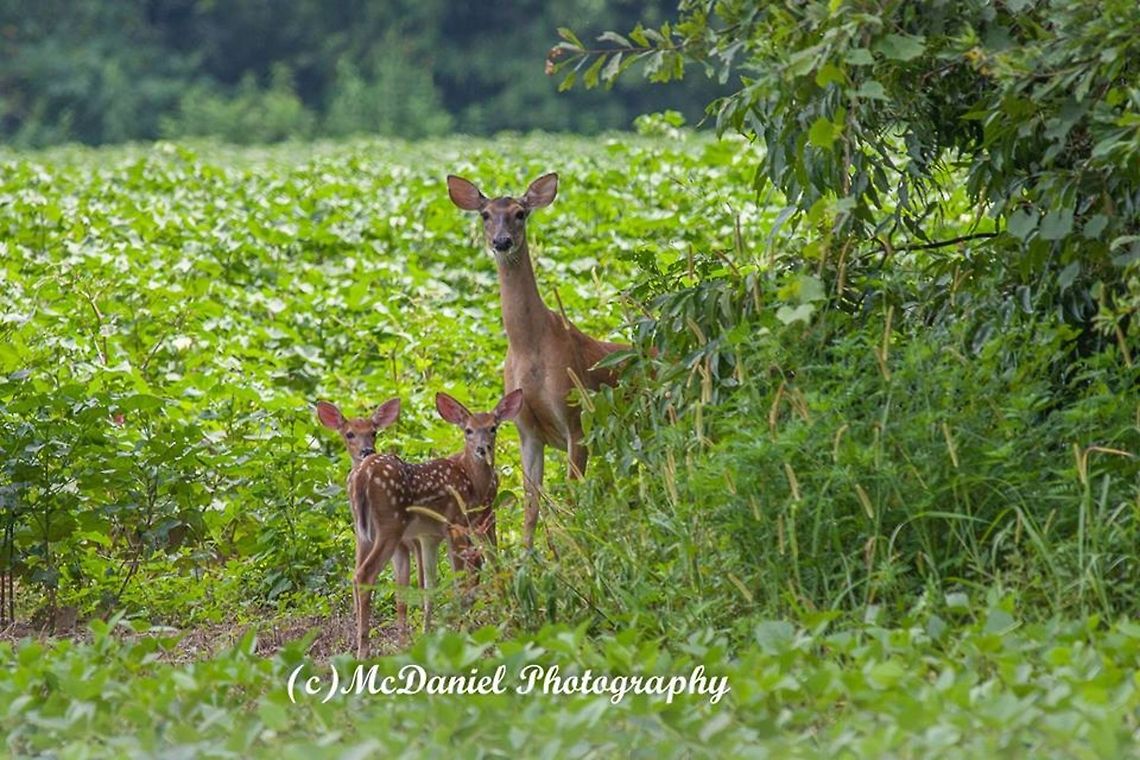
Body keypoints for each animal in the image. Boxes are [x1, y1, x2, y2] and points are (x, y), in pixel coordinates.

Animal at [320, 390, 522, 658]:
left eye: (493, 427)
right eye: (468, 430)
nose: (483, 448)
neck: (473, 481)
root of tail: (361, 475)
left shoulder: (430, 536)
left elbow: (427, 586)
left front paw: (427, 638)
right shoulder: (456, 525)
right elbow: (459, 579)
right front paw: (460, 630)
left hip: (365, 533)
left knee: (360, 574)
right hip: (391, 526)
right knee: (364, 574)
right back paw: (364, 651)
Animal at [447, 172, 628, 550]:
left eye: (520, 213)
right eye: (485, 214)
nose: (502, 242)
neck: (530, 350)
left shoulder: (576, 417)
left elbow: (573, 497)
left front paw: (575, 547)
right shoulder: (527, 431)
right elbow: (531, 502)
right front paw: (527, 556)